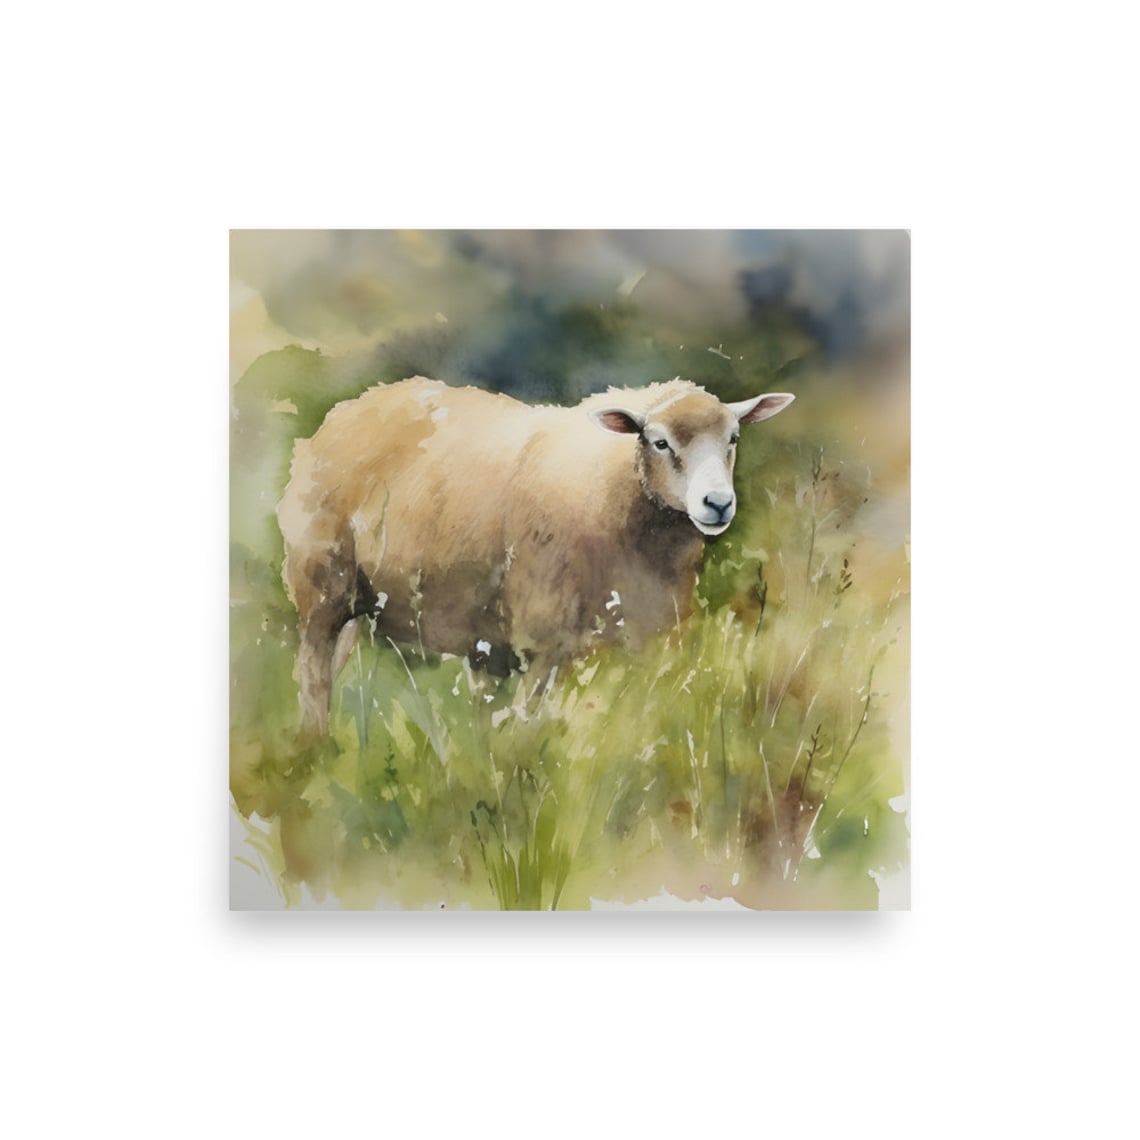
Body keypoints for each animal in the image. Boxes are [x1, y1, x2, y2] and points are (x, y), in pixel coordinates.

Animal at [277, 376, 794, 736]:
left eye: (733, 439)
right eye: (660, 441)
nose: (717, 503)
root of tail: (350, 407)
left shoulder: (652, 646)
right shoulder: (545, 642)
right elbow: (528, 732)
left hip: (392, 611)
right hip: (321, 583)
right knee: (313, 676)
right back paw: (314, 747)